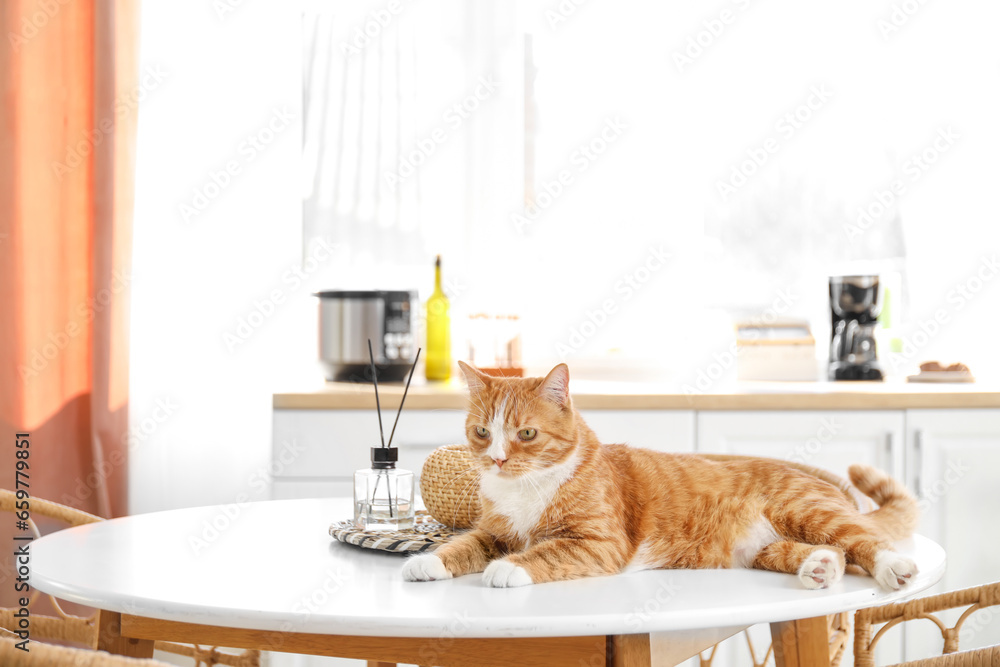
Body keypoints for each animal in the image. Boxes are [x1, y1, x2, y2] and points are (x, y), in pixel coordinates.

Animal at [402, 366, 916, 588]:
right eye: (482, 432)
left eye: (526, 433)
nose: (497, 459)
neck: (526, 488)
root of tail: (833, 490)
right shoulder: (493, 531)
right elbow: (464, 545)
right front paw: (430, 563)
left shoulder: (598, 543)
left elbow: (546, 552)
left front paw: (507, 568)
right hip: (764, 548)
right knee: (828, 552)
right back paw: (819, 568)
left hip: (806, 510)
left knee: (864, 542)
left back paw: (894, 569)